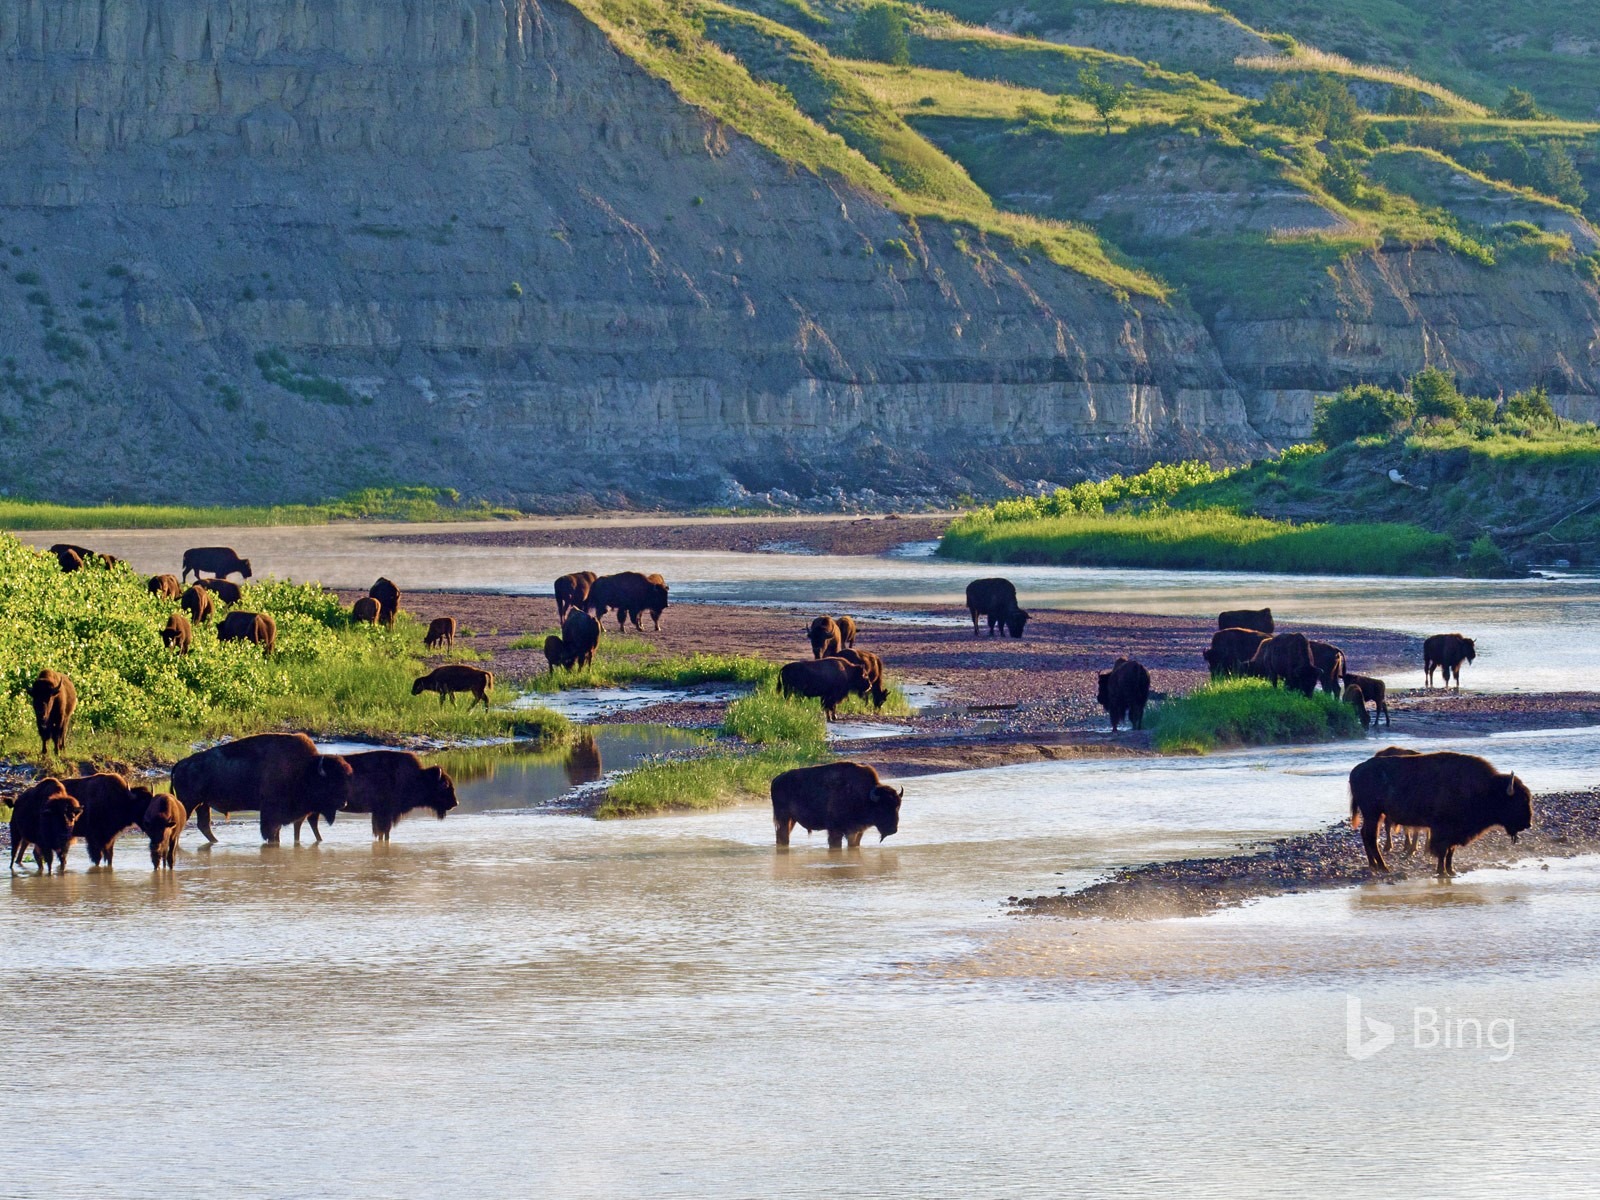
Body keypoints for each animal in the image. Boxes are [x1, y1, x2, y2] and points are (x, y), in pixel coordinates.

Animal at [172, 732, 353, 844]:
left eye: (345, 780)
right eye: (331, 782)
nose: (343, 803)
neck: (304, 769)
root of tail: (180, 764)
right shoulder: (270, 814)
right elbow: (270, 834)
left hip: (203, 804)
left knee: (204, 825)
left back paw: (218, 842)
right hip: (190, 803)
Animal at [771, 764, 908, 851]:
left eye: (898, 807)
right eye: (882, 807)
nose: (893, 830)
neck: (864, 796)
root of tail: (776, 779)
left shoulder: (857, 832)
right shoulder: (836, 831)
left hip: (791, 820)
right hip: (783, 818)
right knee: (783, 836)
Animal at [1356, 748, 1529, 876]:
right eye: (1518, 801)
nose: (1528, 824)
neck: (1486, 788)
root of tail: (1356, 771)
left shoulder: (1454, 833)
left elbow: (1450, 852)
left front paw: (1451, 871)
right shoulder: (1442, 830)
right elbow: (1443, 851)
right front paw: (1442, 872)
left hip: (1374, 815)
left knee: (1366, 834)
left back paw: (1374, 865)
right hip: (1373, 814)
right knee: (1371, 837)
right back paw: (1383, 867)